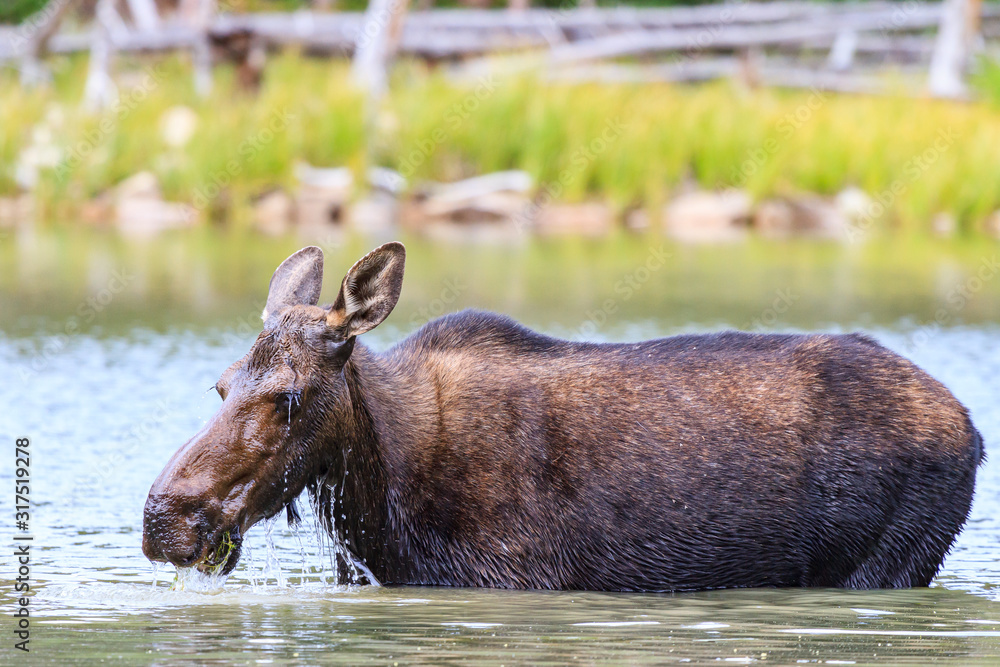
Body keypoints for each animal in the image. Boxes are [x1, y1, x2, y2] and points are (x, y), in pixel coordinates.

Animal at [143, 243, 984, 592]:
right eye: (221, 384)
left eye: (286, 396)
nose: (164, 517)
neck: (377, 494)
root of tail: (973, 429)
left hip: (889, 561)